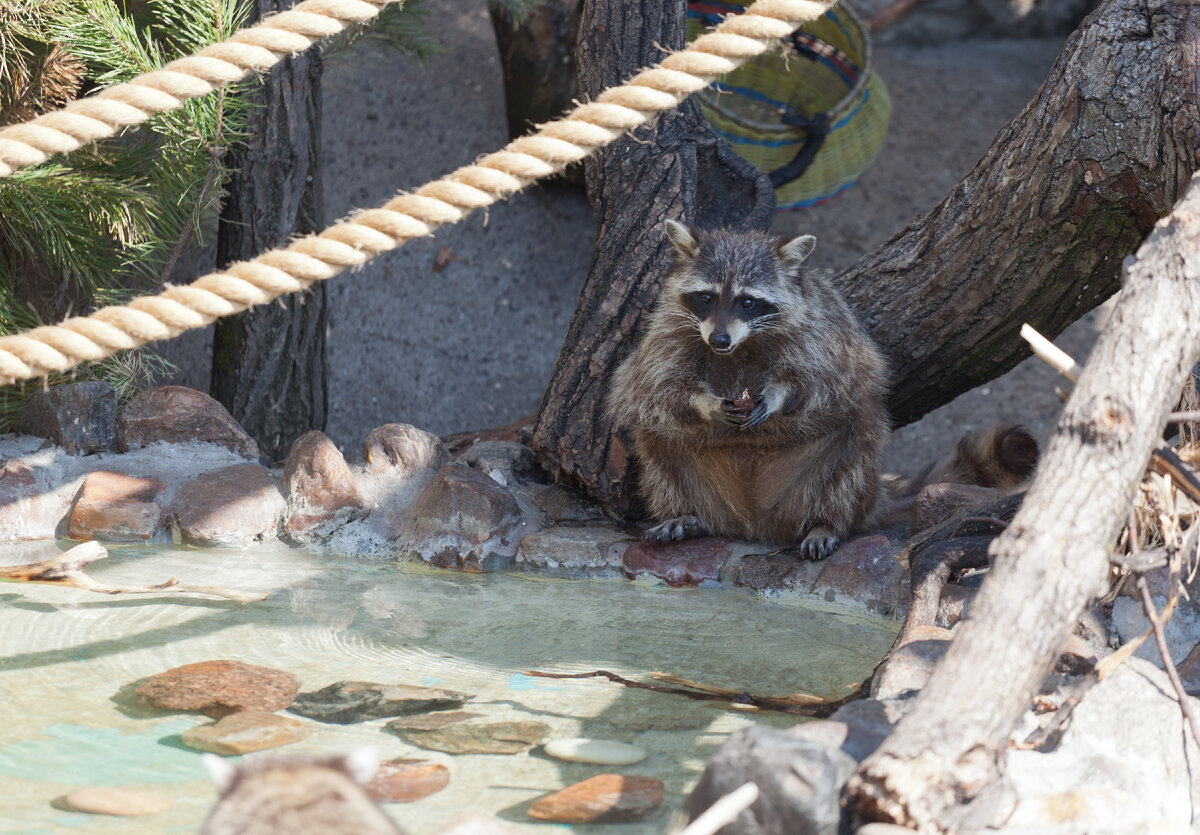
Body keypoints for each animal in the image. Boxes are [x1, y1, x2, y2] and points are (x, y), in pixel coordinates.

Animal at [604, 220, 1036, 561]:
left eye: (748, 302)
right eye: (706, 297)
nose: (720, 339)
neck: (741, 346)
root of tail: (752, 522)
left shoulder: (822, 336)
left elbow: (822, 381)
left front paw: (778, 395)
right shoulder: (668, 330)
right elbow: (652, 387)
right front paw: (704, 403)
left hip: (836, 472)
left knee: (856, 438)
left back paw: (828, 522)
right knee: (655, 441)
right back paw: (682, 512)